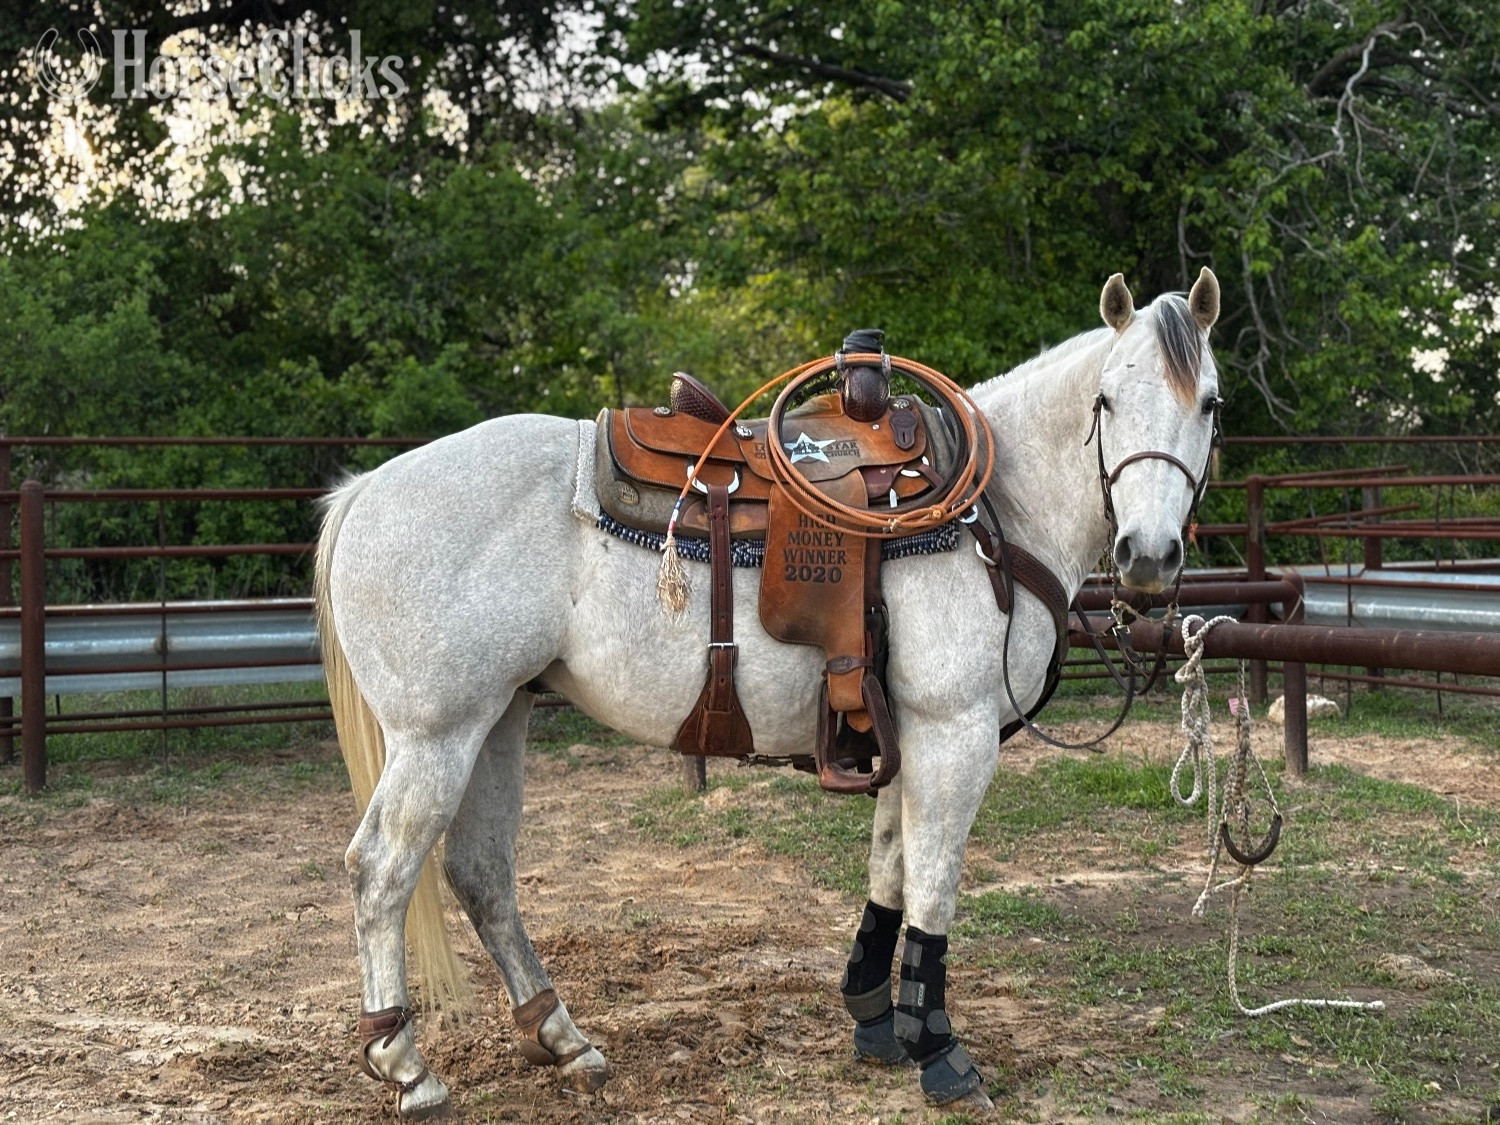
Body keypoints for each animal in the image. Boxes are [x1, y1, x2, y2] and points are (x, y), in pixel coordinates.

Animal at [314, 269, 1224, 1118]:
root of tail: (367, 490)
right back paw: (406, 1064)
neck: (992, 513)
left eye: (1211, 404)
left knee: (481, 872)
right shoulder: (953, 733)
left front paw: (874, 1020)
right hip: (437, 734)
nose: (1148, 557)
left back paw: (562, 1035)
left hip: (499, 717)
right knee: (381, 869)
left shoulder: (903, 736)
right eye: (1107, 398)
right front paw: (939, 1050)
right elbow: (934, 884)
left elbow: (891, 869)